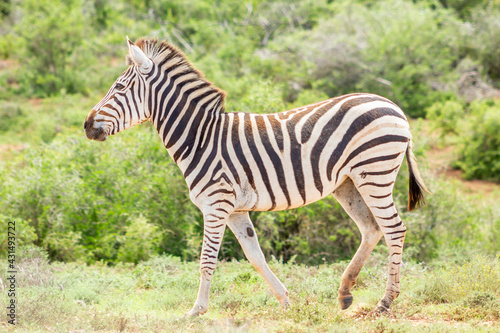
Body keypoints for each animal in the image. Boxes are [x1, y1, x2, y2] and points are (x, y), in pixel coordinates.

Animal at [84, 37, 428, 316]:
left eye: (119, 88)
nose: (86, 126)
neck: (200, 137)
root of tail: (393, 105)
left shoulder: (216, 204)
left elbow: (207, 259)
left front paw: (196, 310)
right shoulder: (236, 210)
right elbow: (255, 257)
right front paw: (286, 300)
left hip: (375, 172)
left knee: (394, 229)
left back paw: (385, 302)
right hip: (347, 182)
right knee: (371, 228)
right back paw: (345, 293)